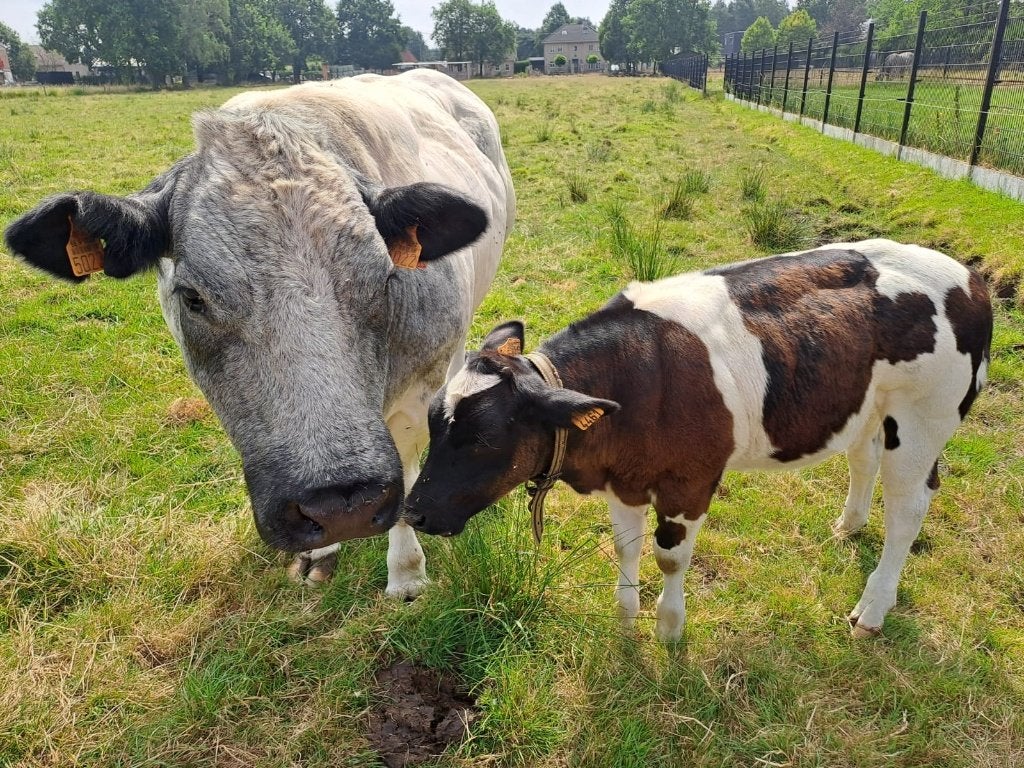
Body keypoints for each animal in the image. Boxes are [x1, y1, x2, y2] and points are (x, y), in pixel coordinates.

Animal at [4, 69, 515, 595]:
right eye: (193, 297)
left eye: (385, 279)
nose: (341, 508)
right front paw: (322, 555)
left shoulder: (418, 388)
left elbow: (409, 474)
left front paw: (407, 572)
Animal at [403, 240, 992, 641]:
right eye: (433, 425)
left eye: (481, 439)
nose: (412, 511)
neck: (640, 376)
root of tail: (968, 275)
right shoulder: (626, 478)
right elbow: (626, 546)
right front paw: (626, 620)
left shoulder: (690, 481)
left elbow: (669, 557)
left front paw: (668, 629)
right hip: (872, 406)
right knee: (862, 459)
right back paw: (848, 526)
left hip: (924, 420)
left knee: (909, 509)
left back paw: (873, 607)